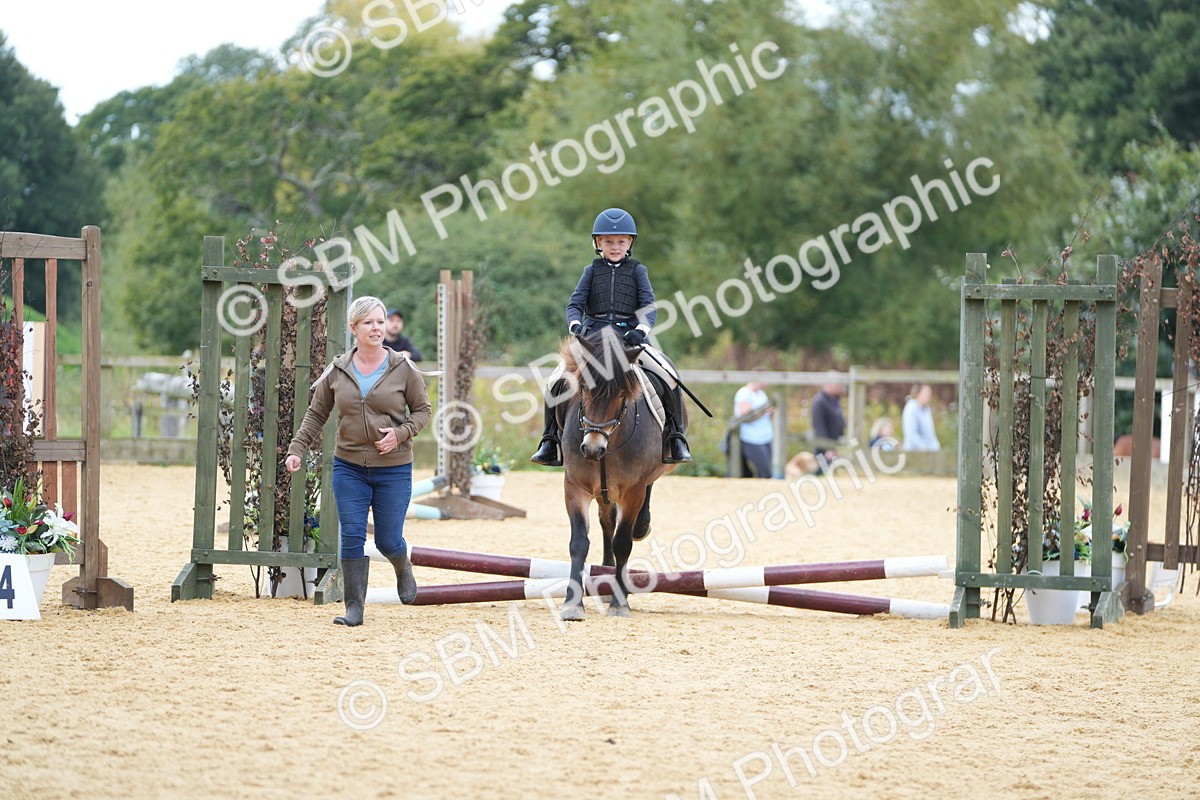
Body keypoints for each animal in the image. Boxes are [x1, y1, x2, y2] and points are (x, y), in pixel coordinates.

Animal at [556, 328, 684, 620]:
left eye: (622, 394)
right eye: (583, 388)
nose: (592, 449)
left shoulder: (633, 490)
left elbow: (623, 542)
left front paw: (619, 603)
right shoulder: (575, 486)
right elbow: (579, 542)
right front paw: (572, 604)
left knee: (642, 501)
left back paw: (640, 530)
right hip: (602, 491)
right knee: (607, 521)